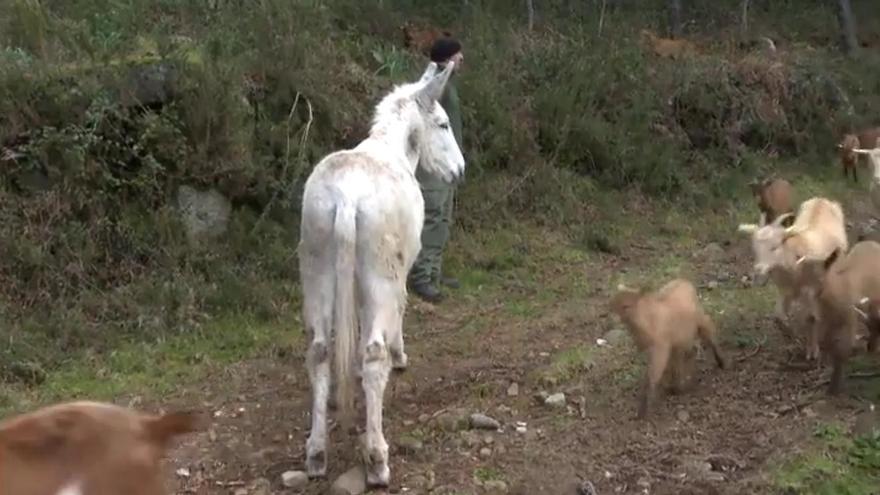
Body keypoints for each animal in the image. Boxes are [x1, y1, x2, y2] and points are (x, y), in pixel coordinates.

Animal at [608, 280, 724, 418]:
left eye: (626, 306)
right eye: (612, 303)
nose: (612, 319)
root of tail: (684, 280)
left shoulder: (661, 348)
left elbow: (652, 377)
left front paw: (645, 408)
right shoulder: (659, 349)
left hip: (700, 321)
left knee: (710, 337)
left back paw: (720, 362)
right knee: (687, 353)